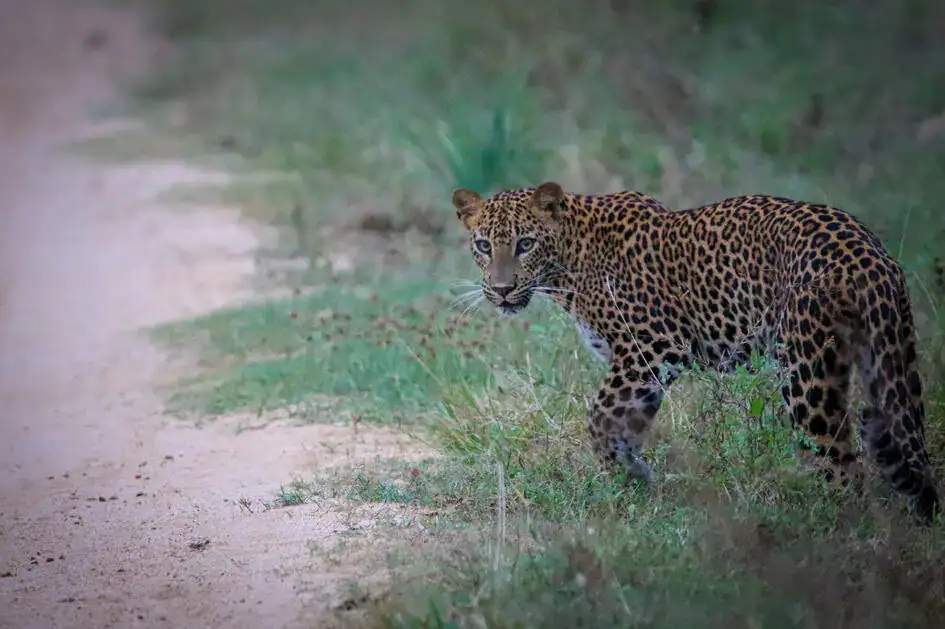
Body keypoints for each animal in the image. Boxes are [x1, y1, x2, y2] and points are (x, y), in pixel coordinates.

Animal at [451, 181, 940, 521]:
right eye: (483, 246)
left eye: (525, 244)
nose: (502, 290)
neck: (568, 262)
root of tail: (868, 257)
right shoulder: (642, 369)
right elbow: (627, 423)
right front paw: (636, 483)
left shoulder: (653, 347)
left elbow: (600, 416)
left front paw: (622, 481)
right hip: (891, 358)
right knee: (902, 444)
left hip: (807, 376)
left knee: (840, 465)